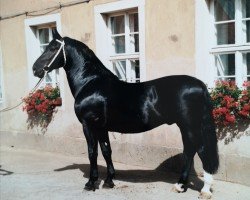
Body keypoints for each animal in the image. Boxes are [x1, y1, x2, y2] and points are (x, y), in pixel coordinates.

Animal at [32, 29, 218, 198]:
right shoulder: (102, 127)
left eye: (52, 48)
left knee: (200, 150)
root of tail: (200, 85)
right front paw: (109, 181)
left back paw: (204, 190)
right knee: (189, 151)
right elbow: (106, 151)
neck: (90, 82)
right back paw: (180, 186)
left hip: (190, 125)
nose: (35, 69)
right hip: (185, 126)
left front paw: (91, 183)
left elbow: (92, 152)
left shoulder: (88, 125)